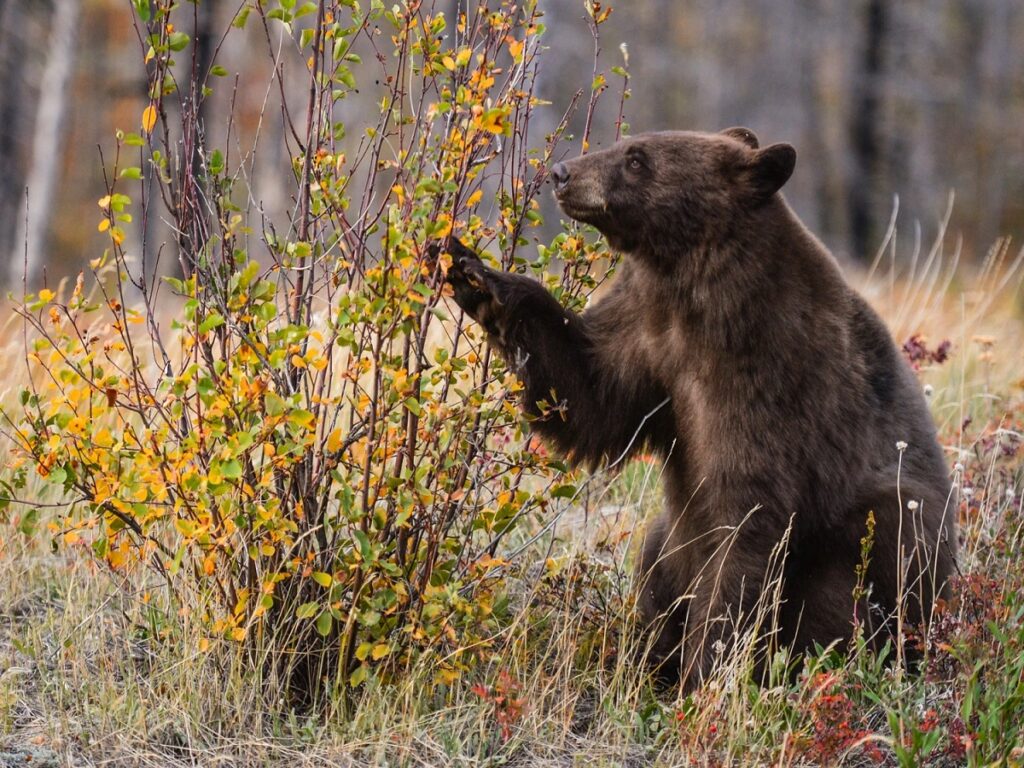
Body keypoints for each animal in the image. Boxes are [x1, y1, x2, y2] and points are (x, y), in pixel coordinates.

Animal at [442, 128, 958, 692]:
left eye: (637, 159)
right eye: (629, 145)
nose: (562, 174)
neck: (693, 288)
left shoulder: (768, 376)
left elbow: (743, 518)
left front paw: (705, 672)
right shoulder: (647, 331)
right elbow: (588, 394)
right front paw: (476, 275)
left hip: (879, 532)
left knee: (863, 569)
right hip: (669, 538)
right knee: (654, 559)